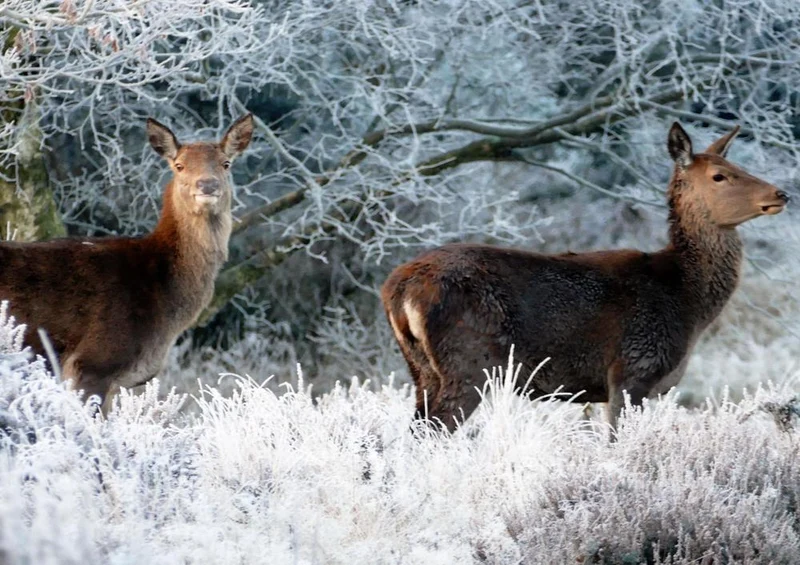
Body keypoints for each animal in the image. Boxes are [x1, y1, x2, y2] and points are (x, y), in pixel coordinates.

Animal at [381, 122, 789, 434]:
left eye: (736, 164)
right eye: (720, 176)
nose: (780, 193)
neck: (688, 303)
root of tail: (398, 290)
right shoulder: (631, 370)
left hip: (421, 369)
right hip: (469, 362)